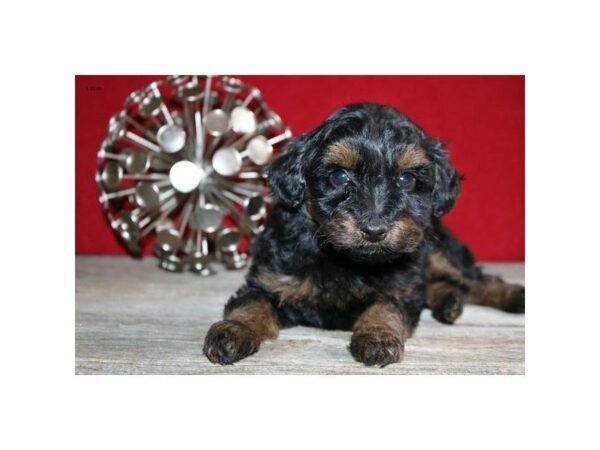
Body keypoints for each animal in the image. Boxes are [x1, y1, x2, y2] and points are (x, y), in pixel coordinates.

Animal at [203, 103, 524, 368]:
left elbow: (386, 307)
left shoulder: (399, 285)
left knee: (475, 281)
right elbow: (250, 303)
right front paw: (234, 330)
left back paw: (510, 296)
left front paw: (378, 336)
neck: (343, 258)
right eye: (338, 177)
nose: (374, 230)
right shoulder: (270, 278)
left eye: (407, 179)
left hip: (436, 251)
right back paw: (449, 301)